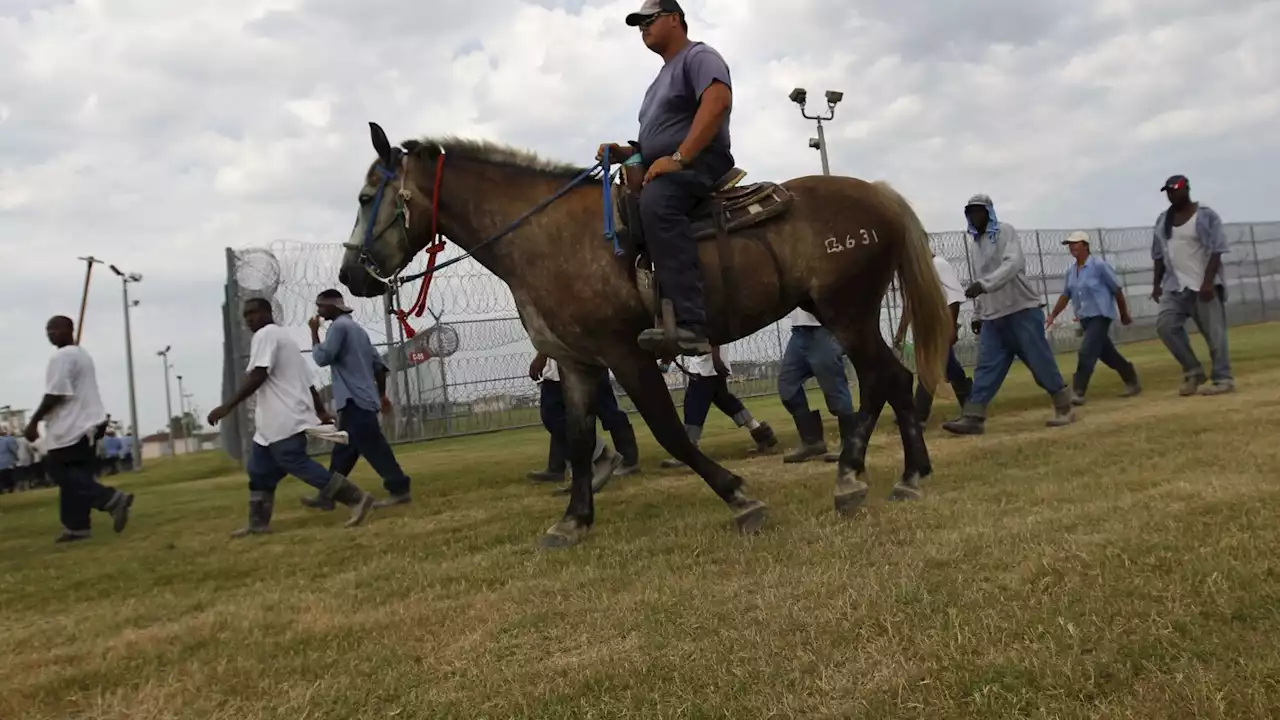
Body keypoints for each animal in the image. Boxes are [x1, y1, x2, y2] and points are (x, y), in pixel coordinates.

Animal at [340, 122, 952, 545]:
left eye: (367, 199)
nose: (349, 275)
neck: (544, 237)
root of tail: (877, 195)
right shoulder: (577, 363)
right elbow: (579, 440)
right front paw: (573, 519)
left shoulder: (626, 355)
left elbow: (670, 431)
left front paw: (738, 497)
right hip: (850, 314)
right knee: (892, 379)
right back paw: (907, 474)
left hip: (846, 312)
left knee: (880, 379)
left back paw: (855, 476)